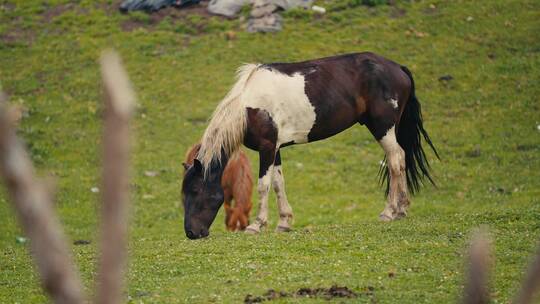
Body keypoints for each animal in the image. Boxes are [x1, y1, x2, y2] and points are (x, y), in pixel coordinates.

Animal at [181, 53, 438, 241]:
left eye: (194, 191)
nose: (191, 233)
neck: (249, 107)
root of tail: (398, 68)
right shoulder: (276, 149)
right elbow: (278, 184)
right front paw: (284, 223)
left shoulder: (267, 148)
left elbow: (264, 186)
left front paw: (257, 225)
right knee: (399, 159)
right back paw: (400, 210)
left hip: (383, 128)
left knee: (395, 160)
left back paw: (391, 211)